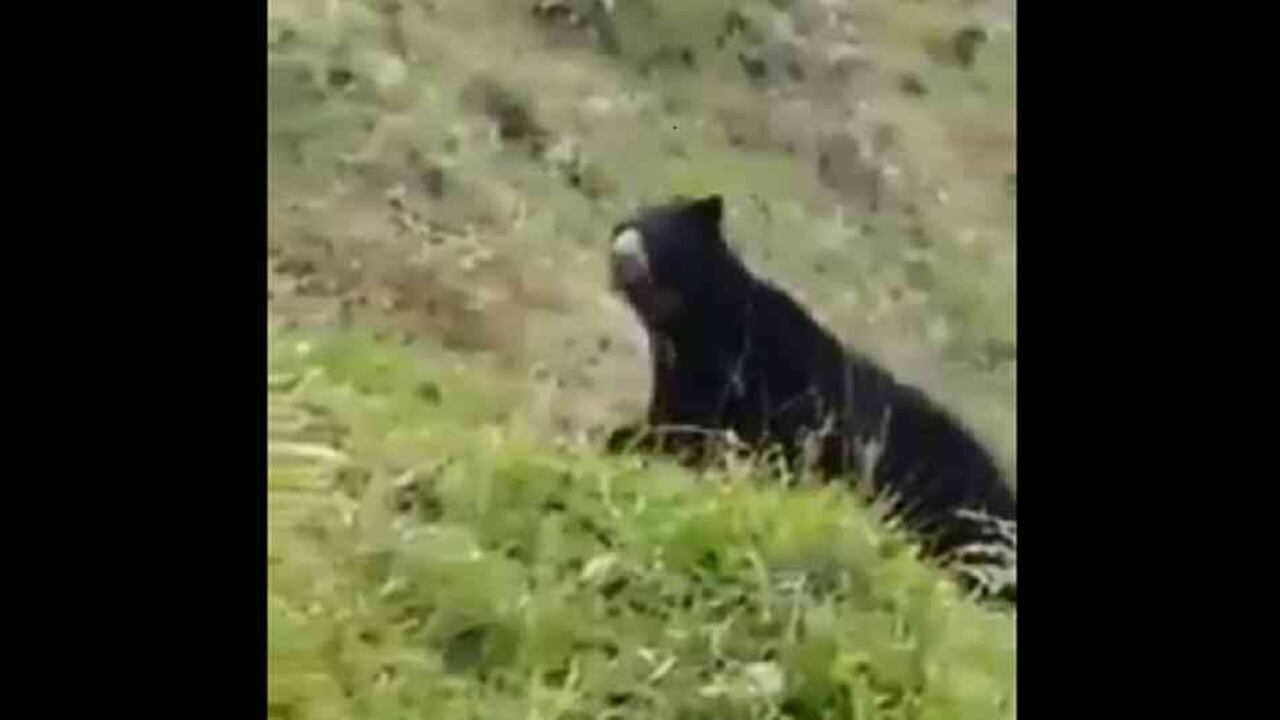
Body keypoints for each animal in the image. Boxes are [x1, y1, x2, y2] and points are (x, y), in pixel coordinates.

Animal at [604, 194, 1016, 604]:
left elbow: (724, 440)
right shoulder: (682, 379)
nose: (622, 256)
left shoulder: (761, 384)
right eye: (624, 226)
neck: (689, 327)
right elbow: (670, 422)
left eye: (660, 233)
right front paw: (624, 438)